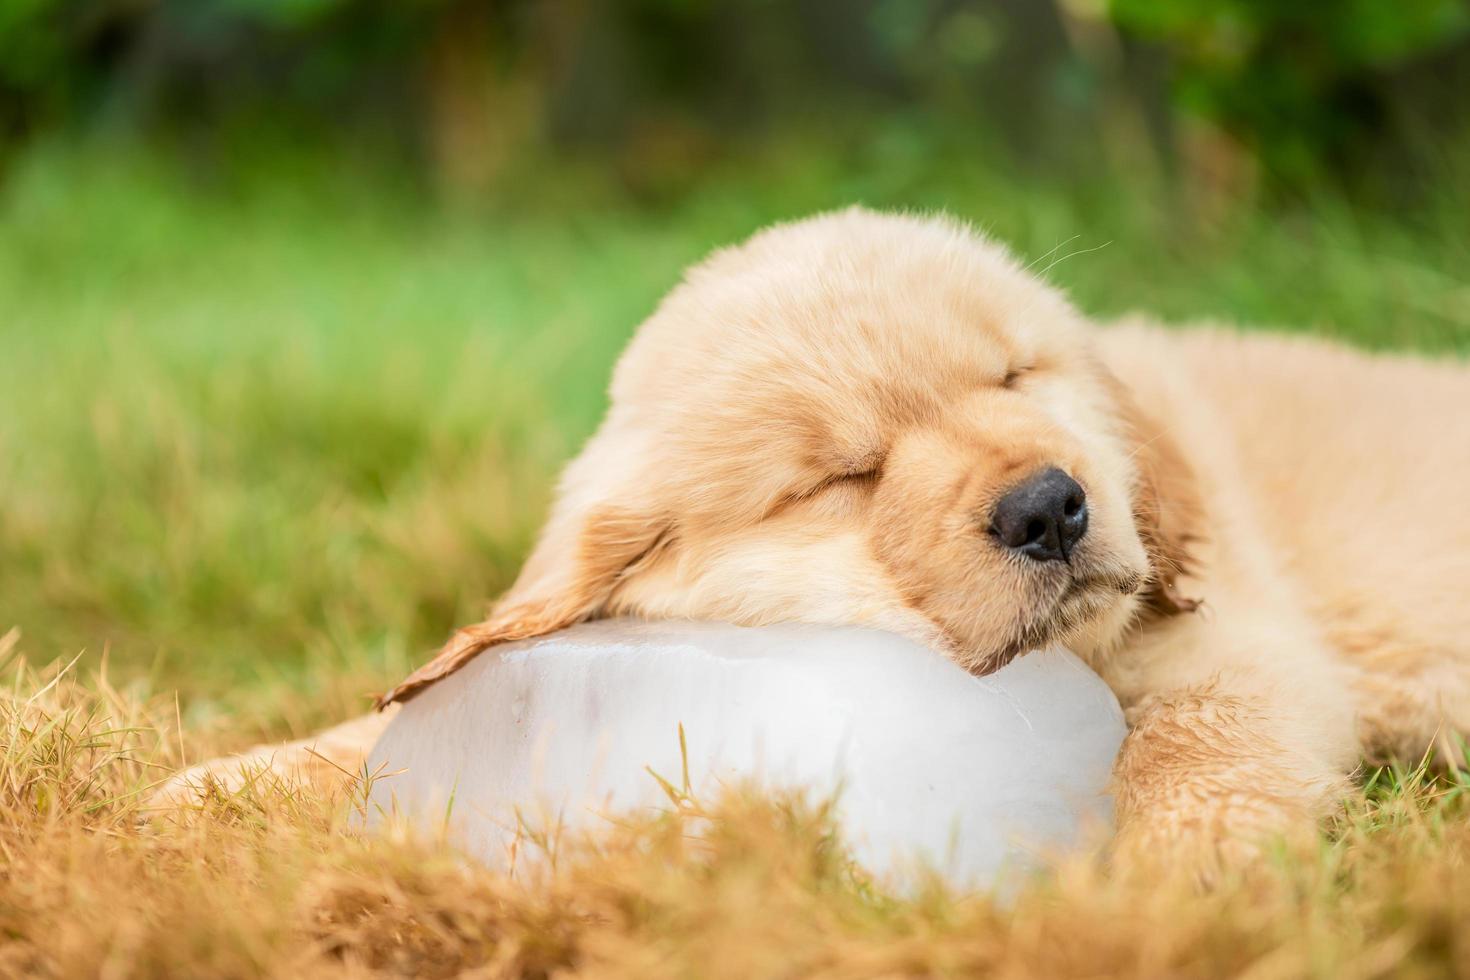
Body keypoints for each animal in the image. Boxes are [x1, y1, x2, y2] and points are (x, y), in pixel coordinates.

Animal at [158, 207, 1470, 875]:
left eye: (1014, 375)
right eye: (845, 475)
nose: (1052, 506)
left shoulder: (1233, 654)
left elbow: (1195, 763)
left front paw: (1153, 892)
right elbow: (387, 719)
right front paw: (215, 785)